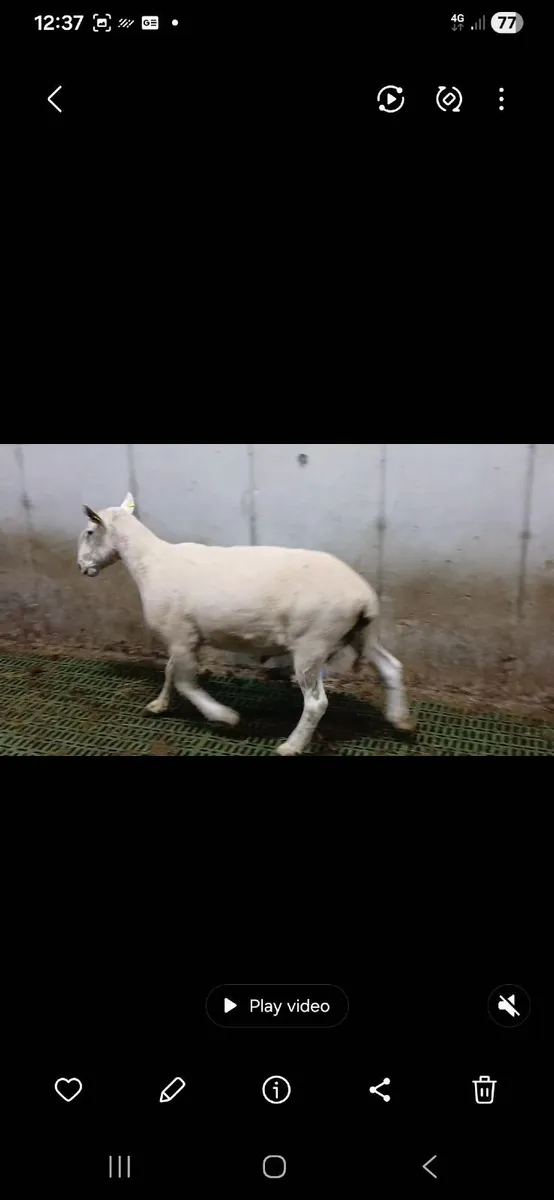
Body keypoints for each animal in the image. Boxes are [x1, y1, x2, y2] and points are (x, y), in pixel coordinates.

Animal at [77, 493, 415, 755]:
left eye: (90, 532)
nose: (81, 567)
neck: (149, 561)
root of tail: (365, 599)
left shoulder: (181, 635)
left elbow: (185, 681)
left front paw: (225, 717)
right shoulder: (182, 636)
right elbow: (171, 671)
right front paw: (159, 705)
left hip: (313, 643)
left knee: (316, 703)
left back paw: (291, 746)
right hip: (362, 634)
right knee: (391, 667)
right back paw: (400, 720)